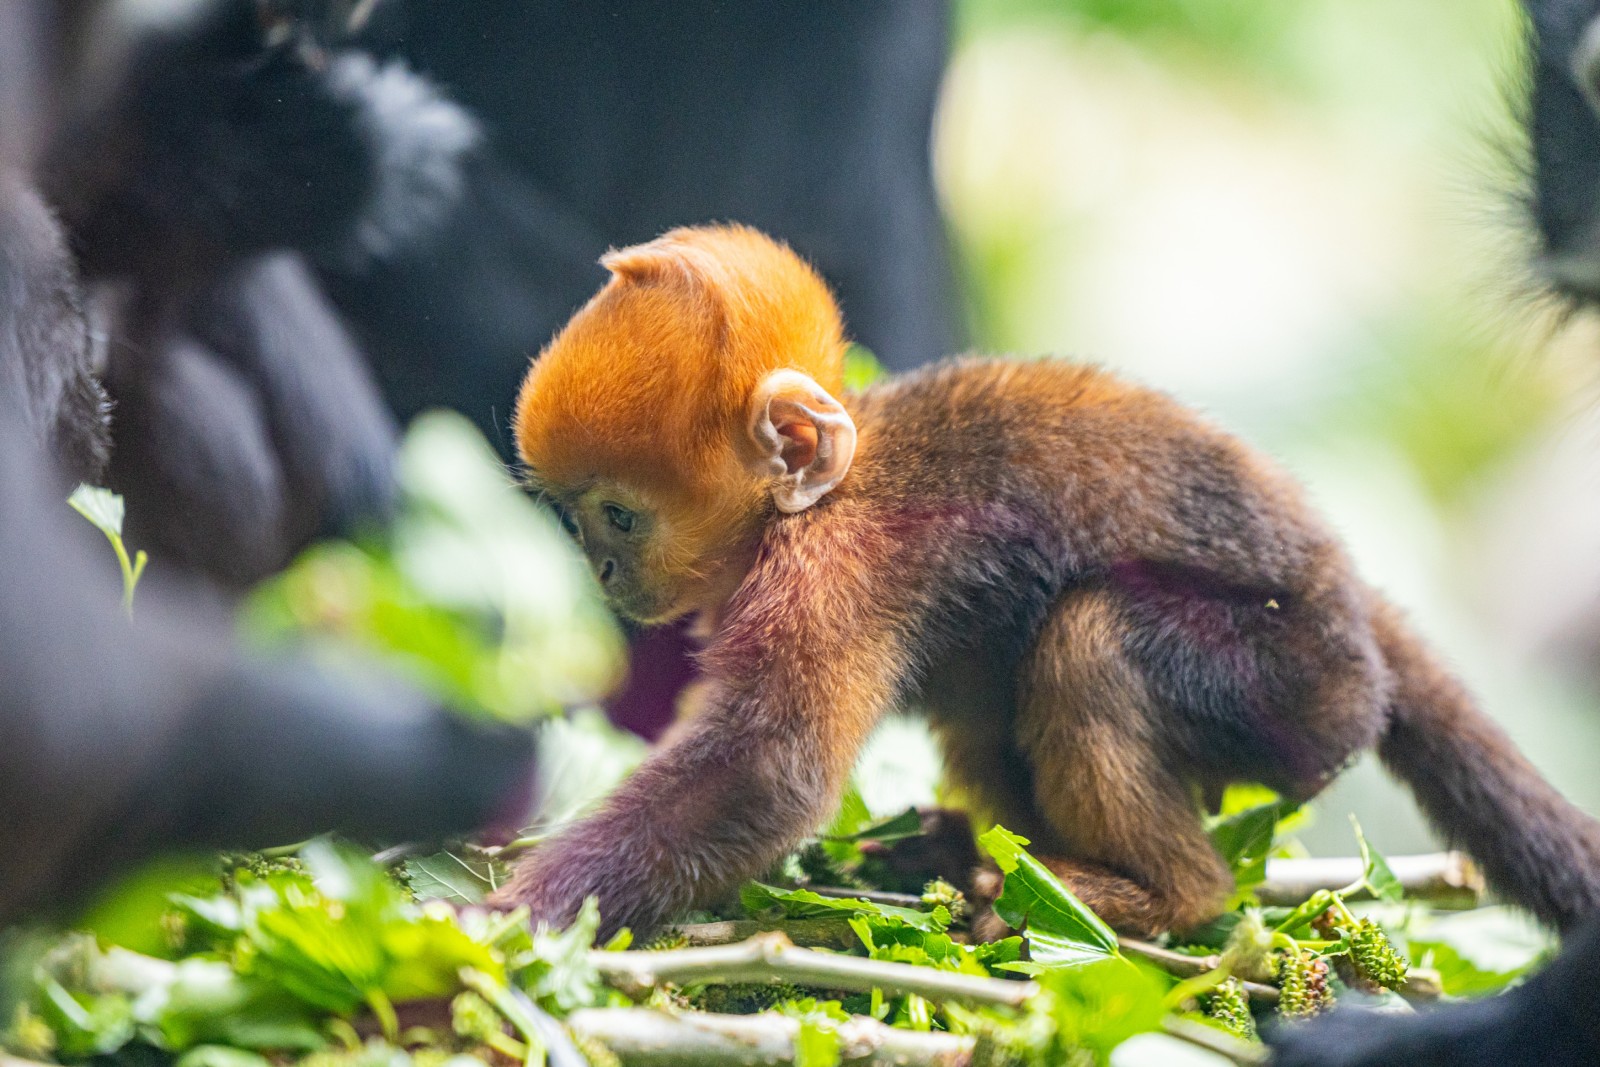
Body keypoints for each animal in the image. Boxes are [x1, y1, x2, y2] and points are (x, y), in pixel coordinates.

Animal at [496, 223, 1600, 934]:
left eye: (619, 516)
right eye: (581, 522)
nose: (601, 566)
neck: (815, 500)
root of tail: (1348, 602)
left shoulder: (834, 569)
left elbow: (767, 772)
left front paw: (514, 915)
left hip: (1294, 691)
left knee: (1089, 641)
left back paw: (1168, 896)